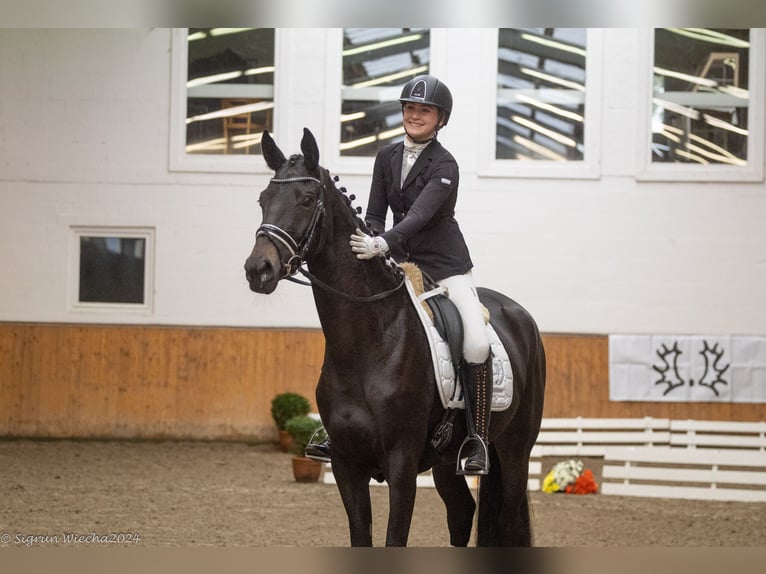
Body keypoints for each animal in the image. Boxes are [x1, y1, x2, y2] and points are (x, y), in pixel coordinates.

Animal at [244, 128, 544, 548]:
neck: (366, 345)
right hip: (446, 462)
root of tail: (519, 315)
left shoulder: (401, 463)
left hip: (515, 449)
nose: (259, 269)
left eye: (306, 199)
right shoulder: (346, 464)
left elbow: (394, 538)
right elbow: (361, 535)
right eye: (263, 199)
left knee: (508, 517)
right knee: (461, 512)